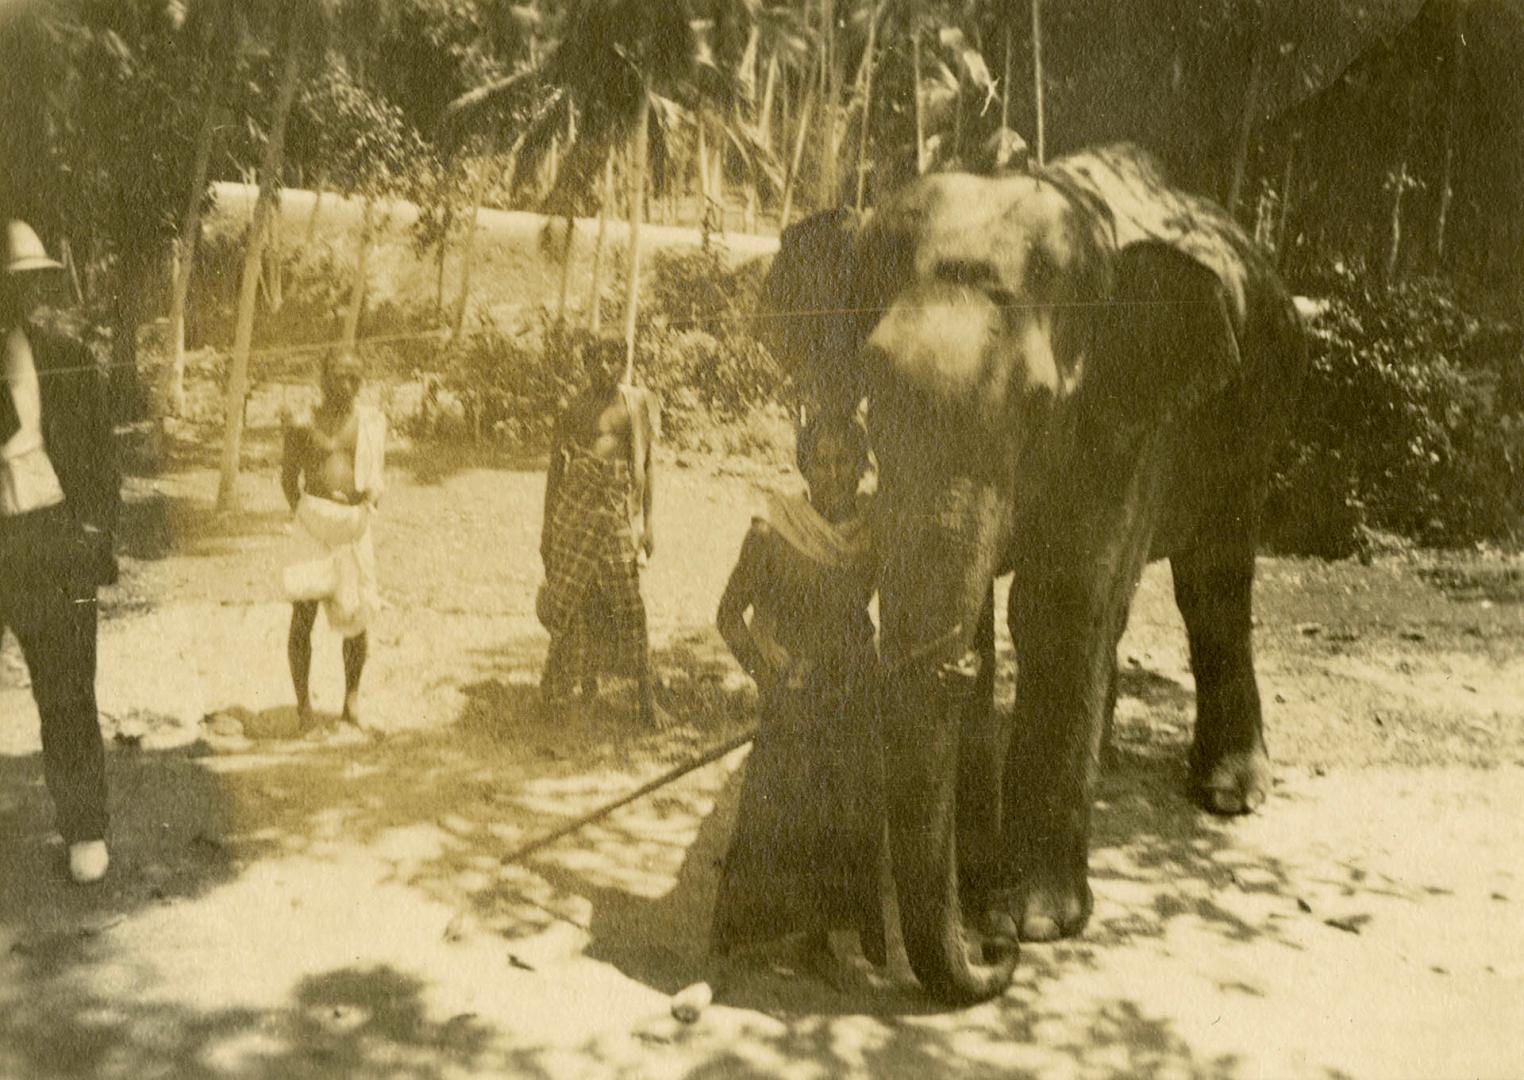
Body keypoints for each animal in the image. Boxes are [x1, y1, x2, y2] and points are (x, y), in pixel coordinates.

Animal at [755, 143, 1304, 1005]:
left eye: (1043, 404)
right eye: (873, 391)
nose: (993, 953)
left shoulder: (1123, 423)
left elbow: (1058, 606)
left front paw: (1034, 920)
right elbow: (985, 614)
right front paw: (982, 889)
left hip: (1260, 408)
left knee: (1211, 578)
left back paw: (1229, 792)